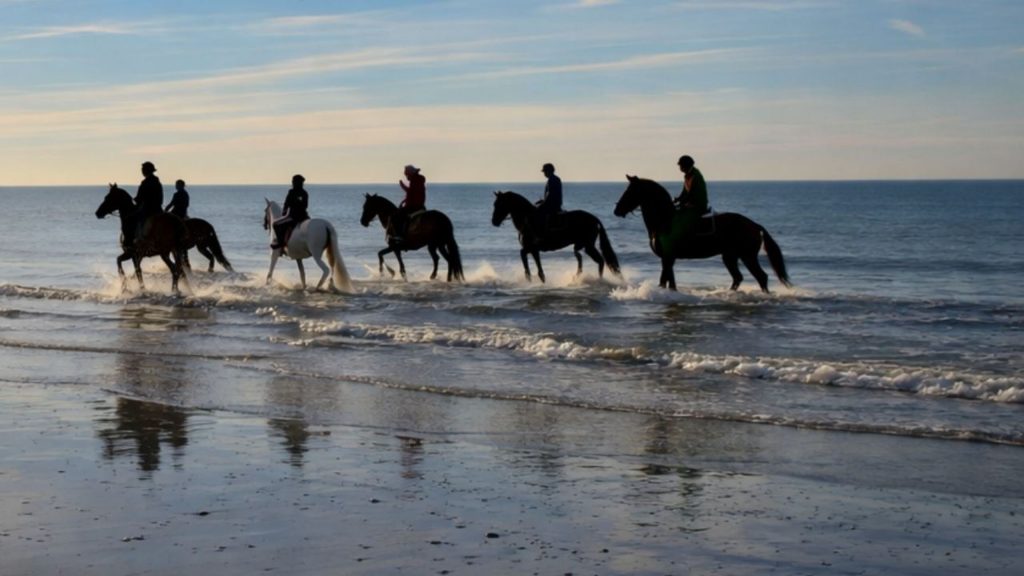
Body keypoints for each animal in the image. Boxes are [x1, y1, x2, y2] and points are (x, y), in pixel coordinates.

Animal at [491, 191, 621, 283]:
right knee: (595, 260)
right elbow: (536, 262)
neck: (527, 219)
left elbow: (523, 254)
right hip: (584, 246)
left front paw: (529, 276)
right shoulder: (534, 250)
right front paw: (540, 277)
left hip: (587, 245)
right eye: (495, 204)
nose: (494, 221)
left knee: (599, 260)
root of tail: (594, 218)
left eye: (499, 204)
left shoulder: (531, 247)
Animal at [613, 175, 791, 292]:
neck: (664, 220)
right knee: (738, 278)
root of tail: (755, 225)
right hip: (730, 256)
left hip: (747, 256)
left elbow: (665, 280)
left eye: (630, 191)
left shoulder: (668, 257)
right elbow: (669, 281)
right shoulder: (668, 258)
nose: (617, 210)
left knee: (761, 277)